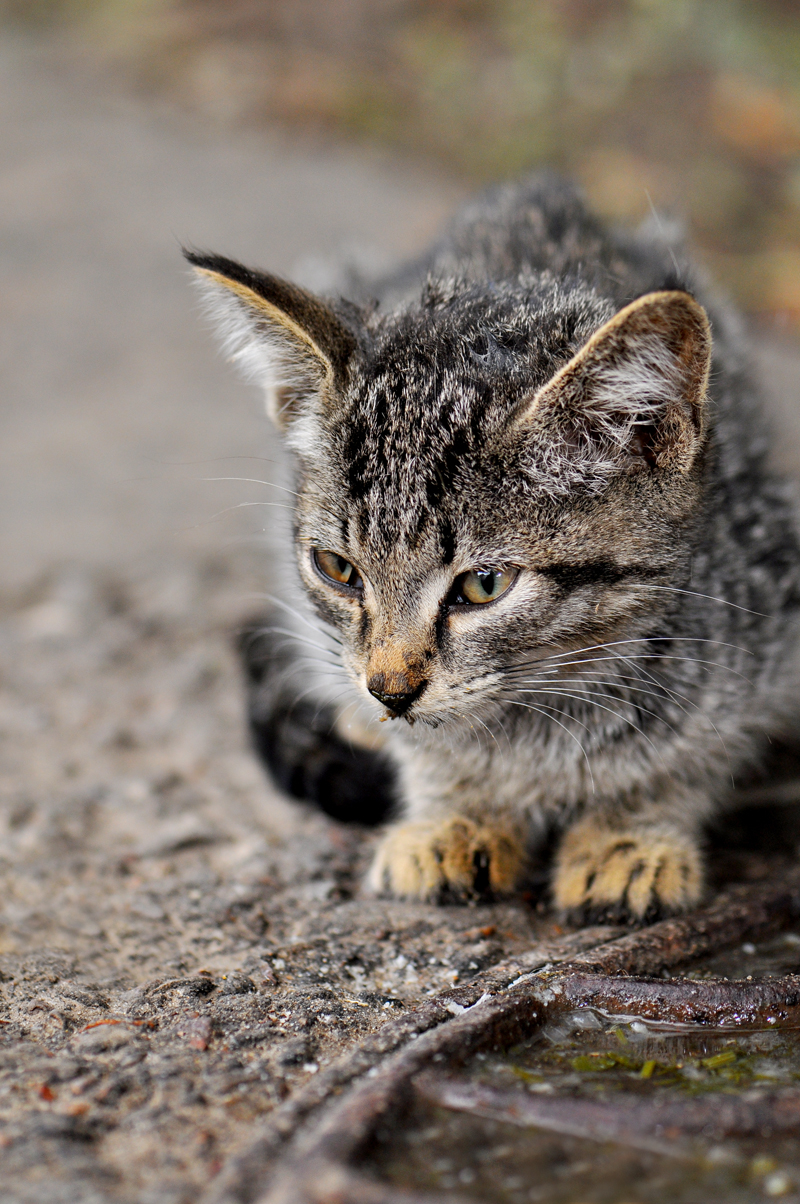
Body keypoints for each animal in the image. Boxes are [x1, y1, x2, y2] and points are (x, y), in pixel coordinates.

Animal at [184, 174, 800, 919]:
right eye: (338, 569)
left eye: (484, 585)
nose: (389, 689)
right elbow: (427, 753)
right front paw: (455, 812)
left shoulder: (768, 610)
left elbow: (699, 750)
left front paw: (630, 832)